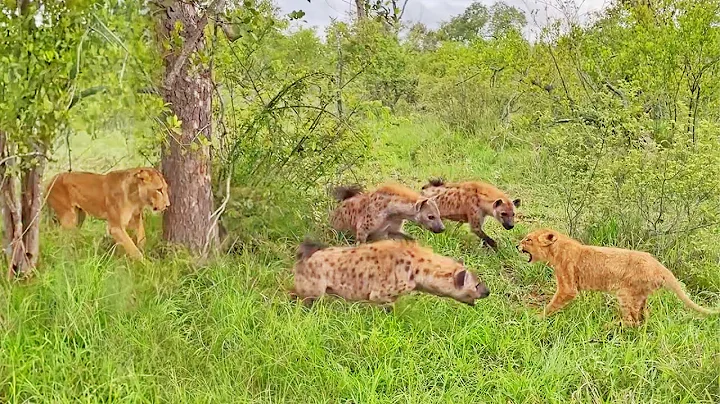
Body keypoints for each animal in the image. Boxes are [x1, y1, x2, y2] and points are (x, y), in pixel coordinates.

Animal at [518, 228, 718, 326]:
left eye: (528, 239)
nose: (516, 245)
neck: (556, 250)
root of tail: (661, 267)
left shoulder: (568, 287)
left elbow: (553, 304)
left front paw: (537, 317)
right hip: (640, 296)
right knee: (643, 316)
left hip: (625, 293)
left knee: (632, 321)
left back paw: (610, 327)